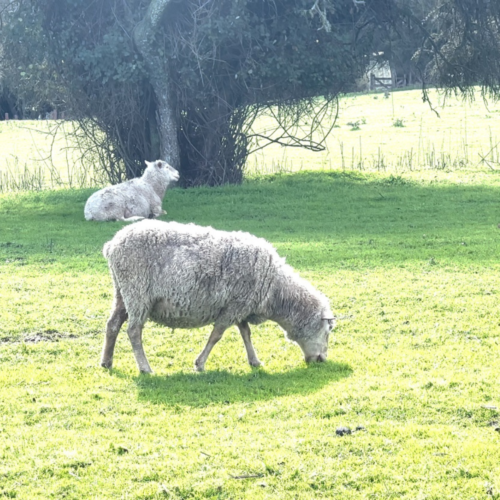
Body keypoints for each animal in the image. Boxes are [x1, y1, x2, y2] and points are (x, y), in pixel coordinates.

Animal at [100, 221, 336, 374]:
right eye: (328, 331)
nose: (322, 360)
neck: (275, 290)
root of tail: (111, 245)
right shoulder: (234, 307)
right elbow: (216, 335)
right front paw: (200, 364)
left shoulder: (241, 305)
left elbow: (246, 334)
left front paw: (255, 361)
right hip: (137, 293)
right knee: (133, 331)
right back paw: (145, 368)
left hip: (123, 292)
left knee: (113, 324)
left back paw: (106, 362)